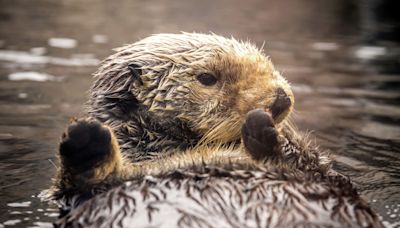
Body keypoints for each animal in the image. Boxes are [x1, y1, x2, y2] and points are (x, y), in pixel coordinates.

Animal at [49, 33, 382, 227]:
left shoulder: (328, 177)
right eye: (207, 78)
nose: (281, 98)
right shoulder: (70, 197)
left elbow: (326, 171)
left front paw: (266, 129)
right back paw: (87, 141)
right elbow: (70, 189)